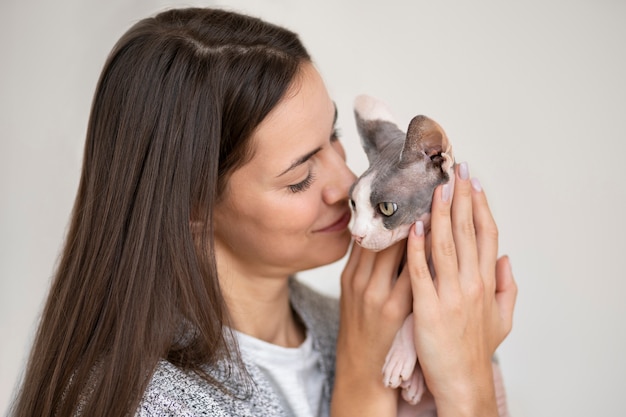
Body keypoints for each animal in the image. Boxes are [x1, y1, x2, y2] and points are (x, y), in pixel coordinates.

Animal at [346, 94, 508, 416]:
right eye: (353, 204)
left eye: (387, 208)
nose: (355, 235)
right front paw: (411, 377)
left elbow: (416, 313)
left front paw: (401, 361)